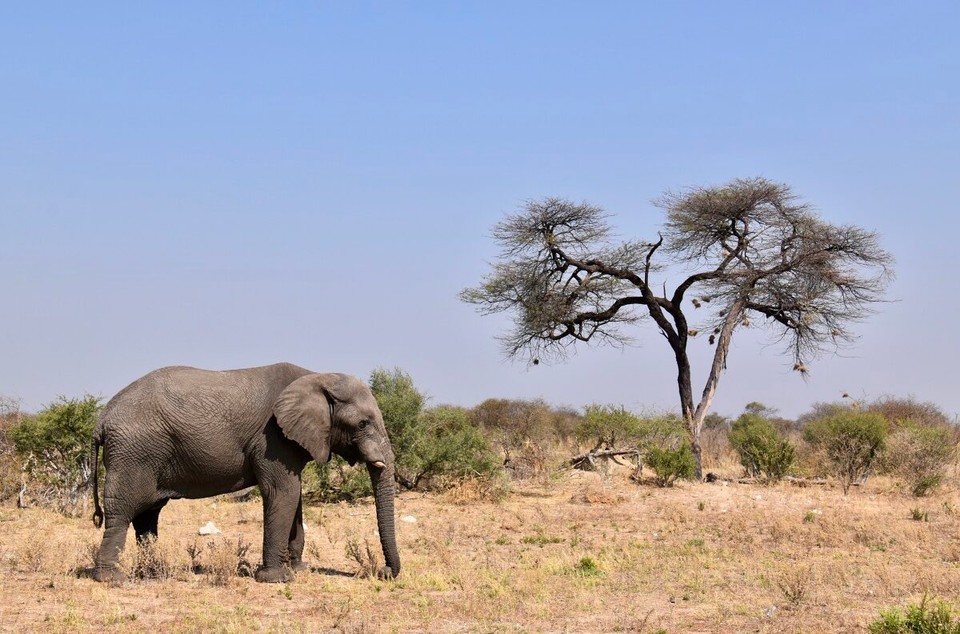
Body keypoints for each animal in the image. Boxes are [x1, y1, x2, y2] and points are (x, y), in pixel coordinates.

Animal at [89, 363, 400, 583]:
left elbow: (295, 495)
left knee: (147, 516)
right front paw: (277, 579)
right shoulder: (272, 439)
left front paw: (299, 569)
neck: (317, 377)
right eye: (362, 424)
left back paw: (154, 573)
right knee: (123, 512)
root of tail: (101, 420)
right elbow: (282, 493)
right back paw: (113, 579)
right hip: (133, 453)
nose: (384, 572)